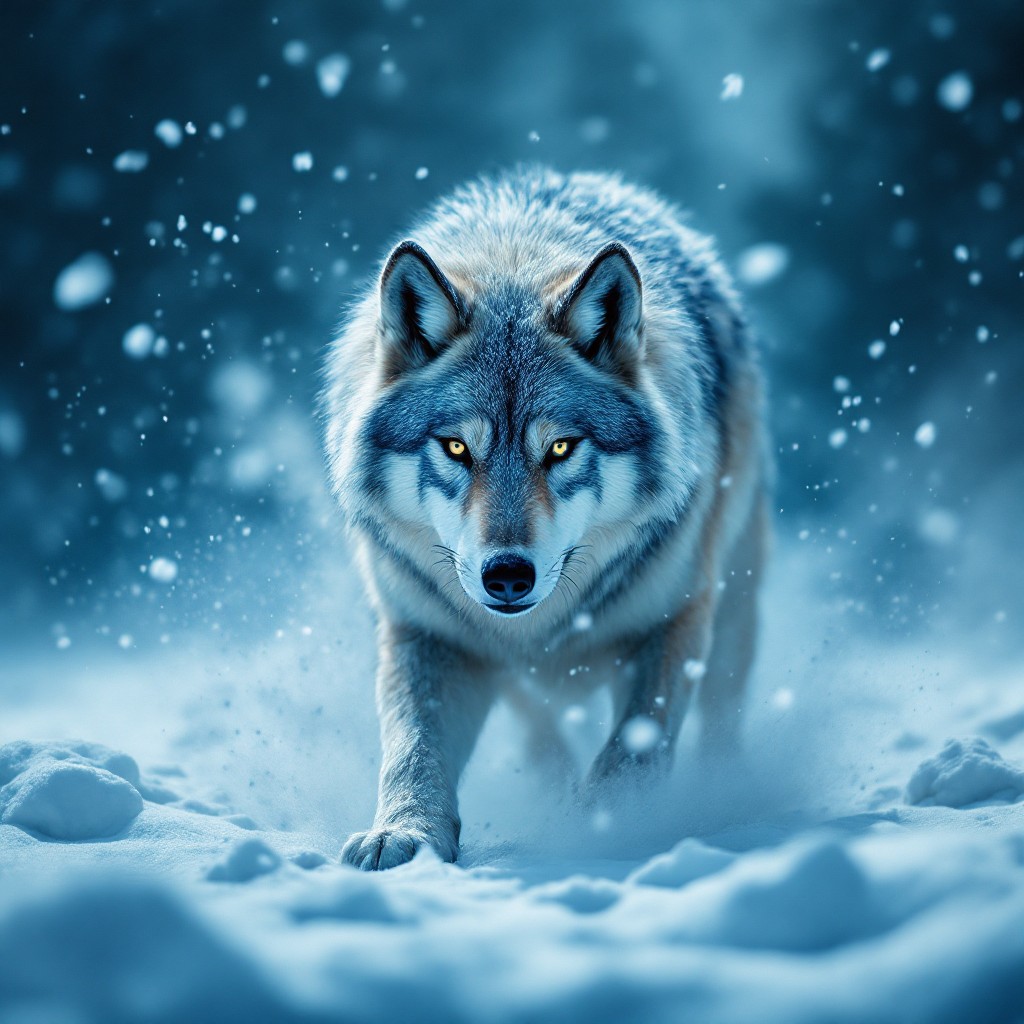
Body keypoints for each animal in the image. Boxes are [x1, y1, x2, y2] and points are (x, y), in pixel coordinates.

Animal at [324, 167, 770, 870]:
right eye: (458, 448)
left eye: (559, 448)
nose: (507, 575)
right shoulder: (428, 633)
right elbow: (413, 747)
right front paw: (405, 835)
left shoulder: (672, 622)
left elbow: (634, 748)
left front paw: (605, 831)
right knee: (536, 726)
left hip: (734, 605)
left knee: (723, 716)